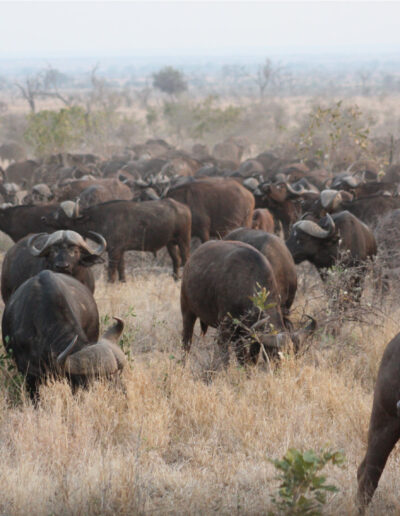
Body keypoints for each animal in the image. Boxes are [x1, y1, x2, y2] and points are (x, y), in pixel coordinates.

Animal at [44, 198, 191, 282]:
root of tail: (185, 208)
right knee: (176, 261)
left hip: (184, 241)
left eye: (59, 213)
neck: (101, 219)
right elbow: (122, 268)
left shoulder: (114, 251)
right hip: (170, 243)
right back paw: (175, 279)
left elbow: (112, 270)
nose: (44, 217)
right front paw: (122, 281)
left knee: (185, 259)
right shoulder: (121, 251)